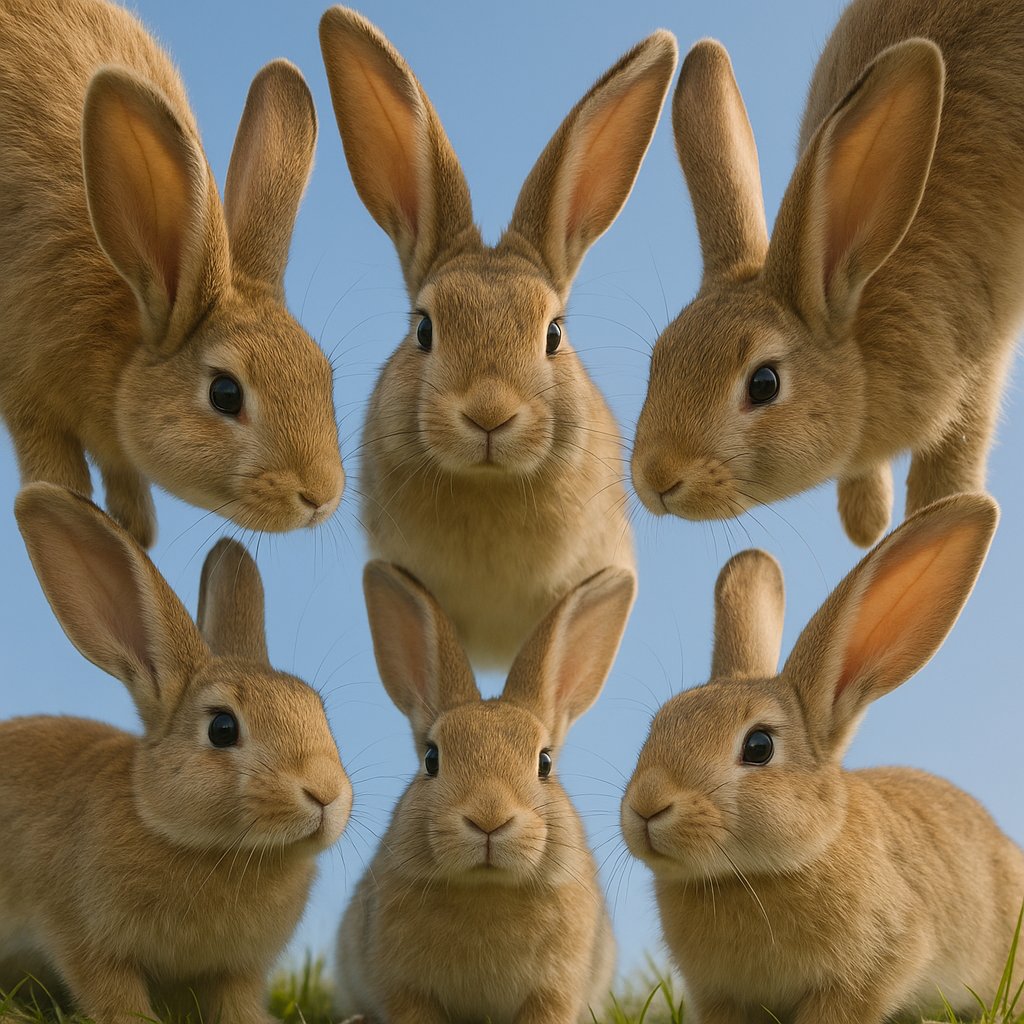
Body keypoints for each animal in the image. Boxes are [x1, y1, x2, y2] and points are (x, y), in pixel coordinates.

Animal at [0, 0, 345, 549]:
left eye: (323, 374)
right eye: (225, 394)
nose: (320, 497)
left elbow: (133, 507)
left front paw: (134, 537)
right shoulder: (28, 400)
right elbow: (59, 482)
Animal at [0, 483, 352, 1024]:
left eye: (318, 708)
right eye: (222, 728)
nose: (326, 794)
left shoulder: (235, 972)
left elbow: (237, 1005)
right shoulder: (87, 944)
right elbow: (114, 998)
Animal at [334, 559, 636, 1024]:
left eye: (544, 762)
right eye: (431, 759)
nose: (489, 818)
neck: (487, 886)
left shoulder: (554, 994)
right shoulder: (407, 993)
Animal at [621, 492, 1024, 1024]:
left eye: (759, 747)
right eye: (658, 723)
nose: (647, 805)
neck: (749, 874)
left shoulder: (869, 970)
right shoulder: (719, 998)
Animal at [630, 0, 1024, 548]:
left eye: (764, 384)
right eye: (658, 359)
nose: (657, 477)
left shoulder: (980, 362)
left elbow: (953, 462)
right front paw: (866, 523)